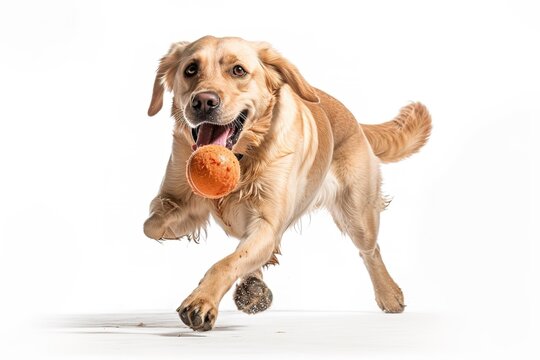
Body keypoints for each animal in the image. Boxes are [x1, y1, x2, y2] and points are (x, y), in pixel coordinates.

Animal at [143, 35, 430, 330]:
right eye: (190, 69)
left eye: (238, 70)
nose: (203, 101)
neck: (244, 156)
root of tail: (354, 119)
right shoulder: (175, 193)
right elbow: (152, 225)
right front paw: (180, 229)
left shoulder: (268, 223)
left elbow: (225, 263)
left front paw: (201, 301)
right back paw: (253, 286)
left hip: (358, 215)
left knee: (371, 250)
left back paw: (389, 294)